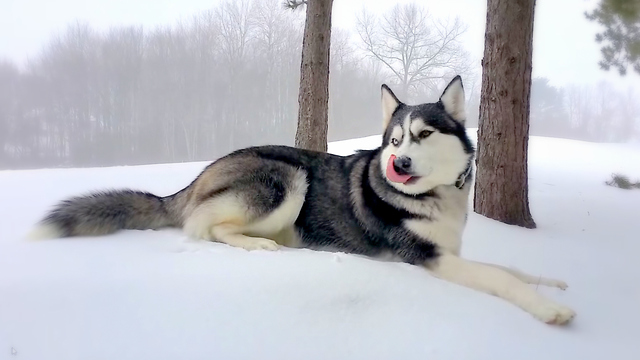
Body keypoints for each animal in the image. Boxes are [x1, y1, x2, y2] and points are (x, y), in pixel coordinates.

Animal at [28, 77, 576, 324]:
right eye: (395, 140)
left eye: (423, 134)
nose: (397, 165)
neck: (429, 198)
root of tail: (202, 173)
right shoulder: (428, 257)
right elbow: (500, 278)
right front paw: (549, 309)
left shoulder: (451, 251)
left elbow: (510, 268)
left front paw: (551, 281)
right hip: (287, 178)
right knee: (206, 228)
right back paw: (262, 247)